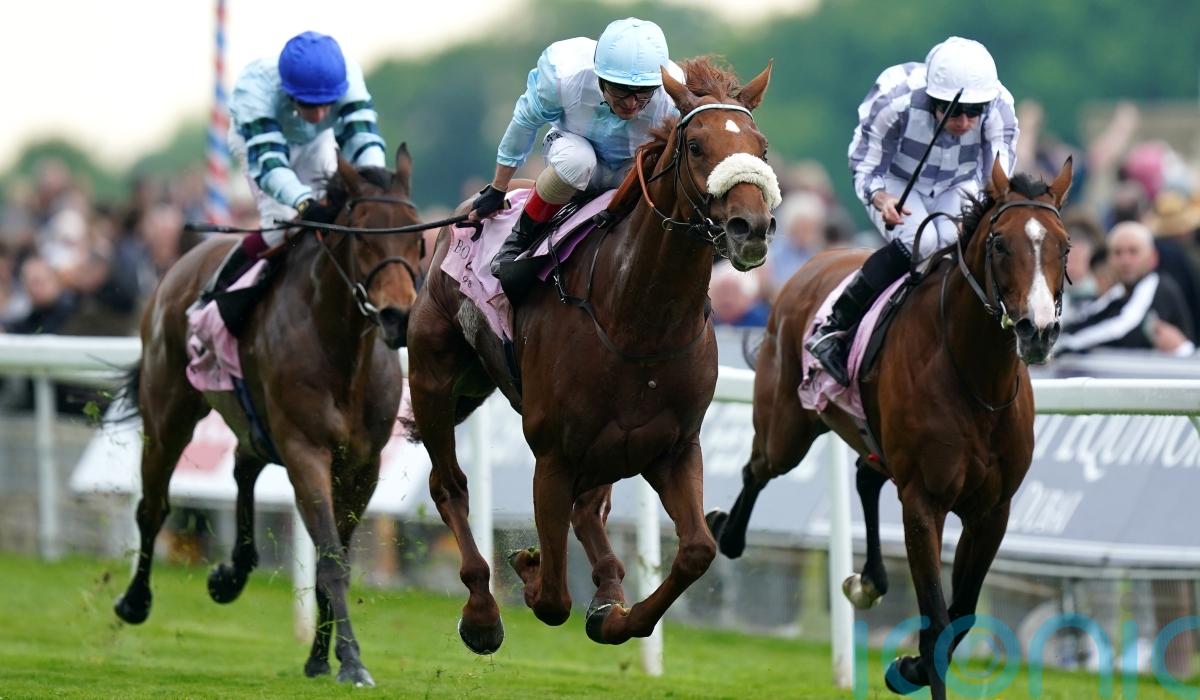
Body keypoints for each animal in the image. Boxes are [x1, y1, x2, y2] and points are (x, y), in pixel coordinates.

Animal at [113, 144, 424, 687]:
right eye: (363, 234)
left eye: (417, 235)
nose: (397, 316)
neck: (343, 354)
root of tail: (178, 266)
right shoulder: (305, 449)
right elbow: (330, 559)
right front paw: (352, 661)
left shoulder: (361, 466)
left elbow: (335, 557)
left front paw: (321, 658)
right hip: (169, 412)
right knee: (153, 506)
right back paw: (135, 600)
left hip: (255, 422)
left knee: (243, 464)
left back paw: (232, 573)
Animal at [404, 57, 777, 653]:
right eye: (696, 145)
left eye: (761, 147)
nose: (752, 228)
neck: (636, 320)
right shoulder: (554, 454)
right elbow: (554, 598)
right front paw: (532, 572)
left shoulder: (673, 448)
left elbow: (698, 549)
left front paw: (613, 613)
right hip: (434, 377)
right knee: (450, 486)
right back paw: (482, 611)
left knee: (589, 508)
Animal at [706, 159, 1073, 699]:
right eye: (1000, 244)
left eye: (1064, 246)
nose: (1038, 330)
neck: (976, 380)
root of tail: (810, 265)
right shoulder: (924, 500)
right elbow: (938, 623)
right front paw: (914, 667)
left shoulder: (992, 509)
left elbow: (962, 615)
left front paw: (909, 665)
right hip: (786, 429)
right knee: (757, 469)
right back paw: (722, 529)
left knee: (864, 475)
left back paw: (869, 581)